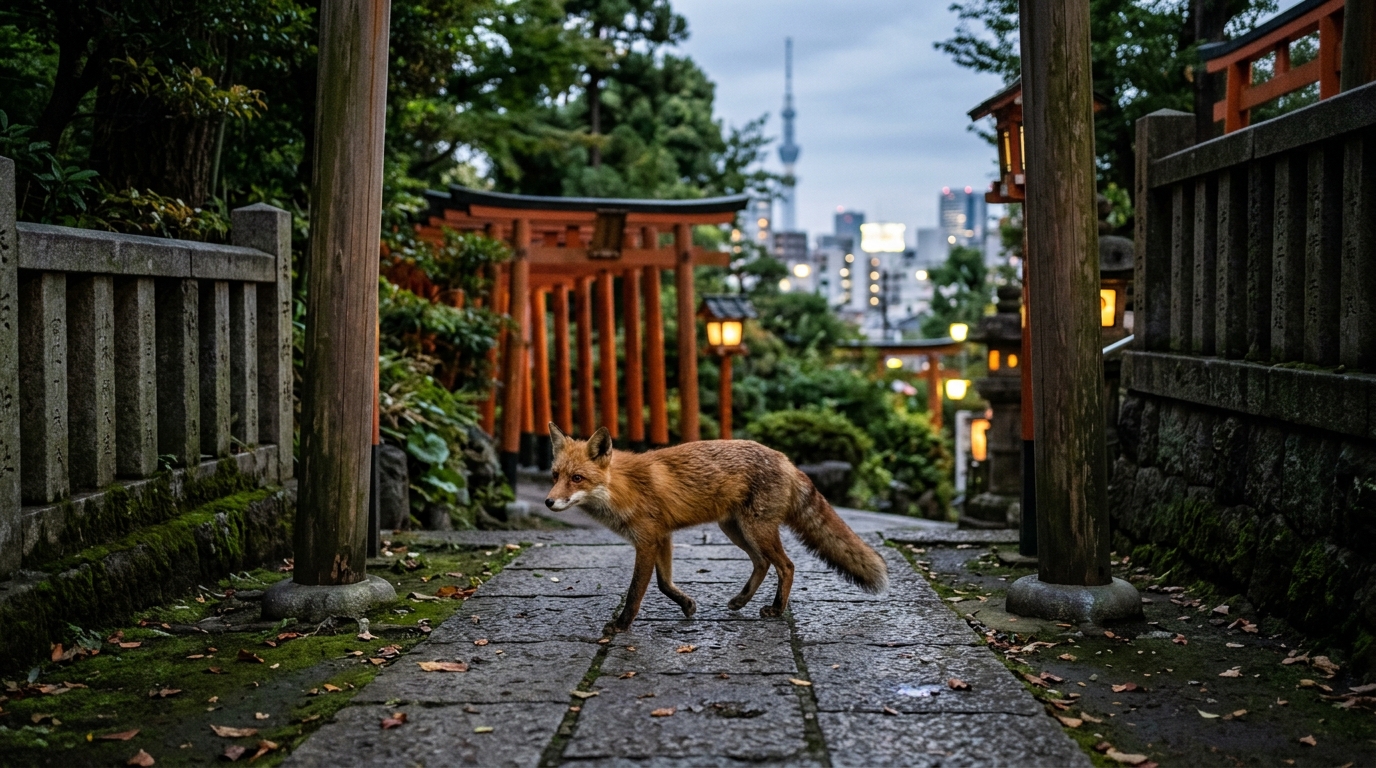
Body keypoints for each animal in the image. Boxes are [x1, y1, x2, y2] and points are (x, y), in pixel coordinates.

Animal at [543, 422, 888, 632]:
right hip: (735, 530)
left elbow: (636, 591)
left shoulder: (648, 540)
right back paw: (740, 601)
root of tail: (786, 460)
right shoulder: (662, 536)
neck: (622, 488)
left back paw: (776, 610)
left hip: (756, 530)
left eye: (577, 478)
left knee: (786, 565)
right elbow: (664, 584)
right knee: (762, 563)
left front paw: (621, 626)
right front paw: (687, 605)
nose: (548, 502)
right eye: (555, 475)